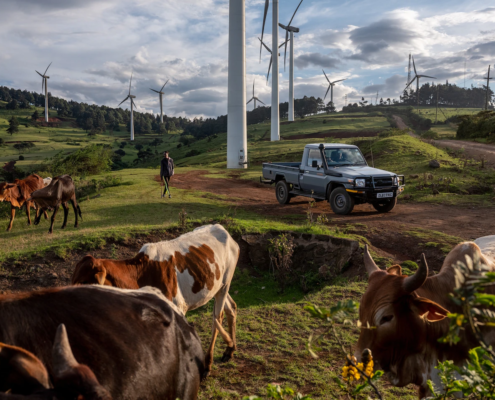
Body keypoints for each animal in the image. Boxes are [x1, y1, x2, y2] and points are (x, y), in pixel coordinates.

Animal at [71, 223, 240, 376]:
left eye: (84, 281)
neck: (141, 275)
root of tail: (223, 230)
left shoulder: (178, 308)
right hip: (218, 285)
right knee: (231, 307)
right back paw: (230, 350)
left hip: (225, 283)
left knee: (217, 318)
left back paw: (208, 363)